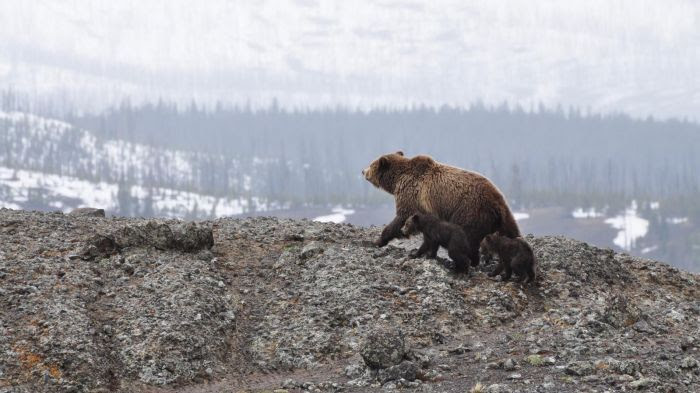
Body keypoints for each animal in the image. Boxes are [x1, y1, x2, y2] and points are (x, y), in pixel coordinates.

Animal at [360, 151, 520, 266]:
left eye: (371, 164)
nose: (362, 171)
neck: (397, 181)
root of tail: (497, 202)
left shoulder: (412, 196)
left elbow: (401, 217)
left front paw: (378, 240)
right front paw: (429, 252)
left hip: (470, 211)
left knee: (468, 238)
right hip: (500, 218)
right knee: (511, 232)